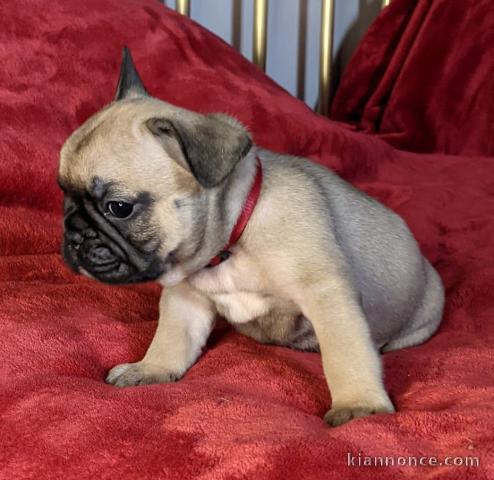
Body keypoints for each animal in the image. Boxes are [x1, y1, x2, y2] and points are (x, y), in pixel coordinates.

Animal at [58, 47, 444, 424]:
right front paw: (150, 368)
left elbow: (344, 352)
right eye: (63, 193)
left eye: (119, 207)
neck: (230, 244)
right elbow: (172, 337)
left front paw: (360, 404)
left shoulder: (326, 292)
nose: (74, 235)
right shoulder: (186, 298)